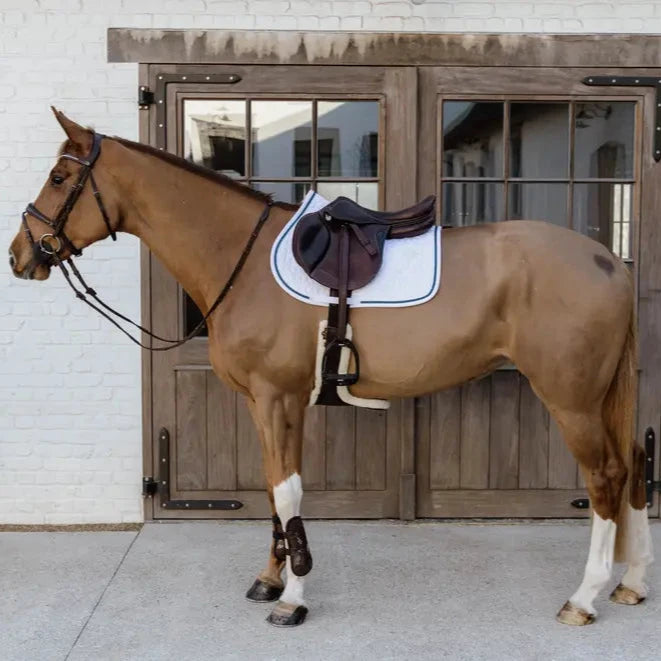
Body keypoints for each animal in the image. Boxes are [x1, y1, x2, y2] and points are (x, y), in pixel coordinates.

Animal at [7, 109, 652, 628]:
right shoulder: (266, 402)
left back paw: (584, 598)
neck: (241, 258)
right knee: (637, 468)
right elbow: (273, 488)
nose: (18, 255)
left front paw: (292, 598)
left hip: (572, 400)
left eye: (60, 178)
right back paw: (633, 583)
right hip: (602, 398)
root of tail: (606, 260)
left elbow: (288, 492)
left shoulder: (277, 397)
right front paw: (269, 579)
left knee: (606, 479)